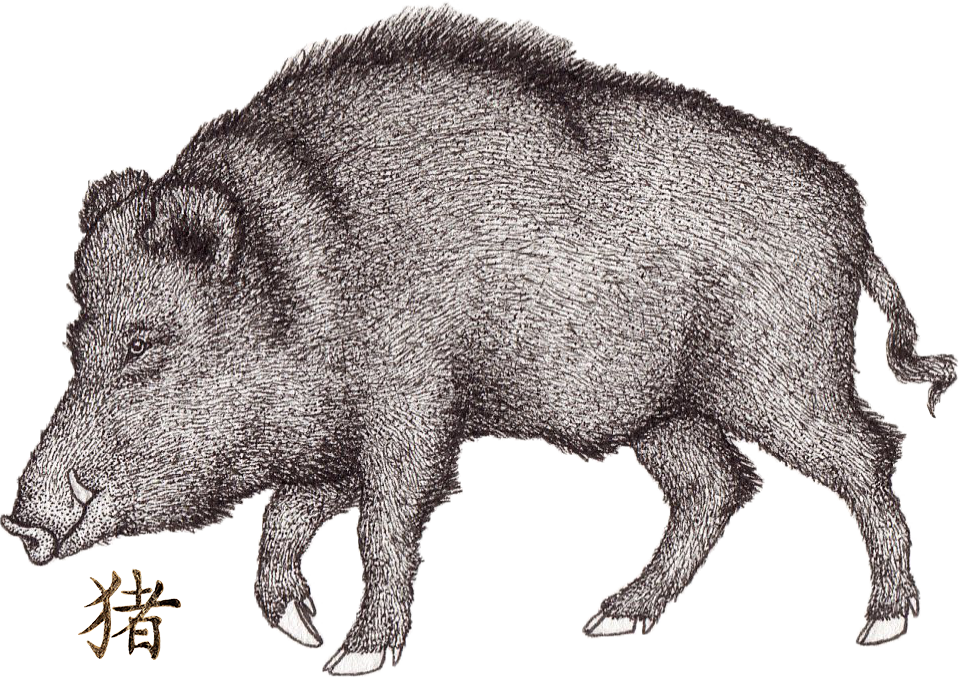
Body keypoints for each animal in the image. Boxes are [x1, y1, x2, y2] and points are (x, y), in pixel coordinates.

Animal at [3, 9, 956, 674]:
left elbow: (380, 525)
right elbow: (289, 511)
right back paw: (610, 616)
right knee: (714, 485)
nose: (20, 518)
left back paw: (882, 621)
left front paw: (351, 652)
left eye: (144, 346)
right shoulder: (337, 439)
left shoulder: (412, 415)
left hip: (780, 375)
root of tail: (850, 215)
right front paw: (296, 625)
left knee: (865, 454)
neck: (300, 281)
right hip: (662, 410)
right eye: (75, 339)